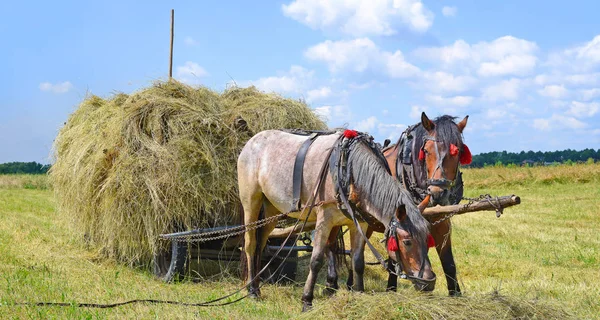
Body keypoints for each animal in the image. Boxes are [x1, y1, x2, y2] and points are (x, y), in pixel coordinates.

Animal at [236, 129, 436, 310]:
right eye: (407, 241)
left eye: (428, 239)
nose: (429, 282)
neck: (347, 171)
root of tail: (252, 140)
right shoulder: (324, 221)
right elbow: (316, 260)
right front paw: (307, 300)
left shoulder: (360, 224)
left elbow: (357, 260)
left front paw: (359, 293)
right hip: (251, 202)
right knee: (250, 244)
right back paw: (252, 290)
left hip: (271, 210)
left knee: (261, 245)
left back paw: (257, 284)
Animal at [382, 112, 472, 296]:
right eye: (426, 150)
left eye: (458, 152)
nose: (437, 193)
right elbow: (394, 258)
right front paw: (391, 289)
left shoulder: (442, 222)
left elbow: (448, 263)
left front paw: (455, 294)